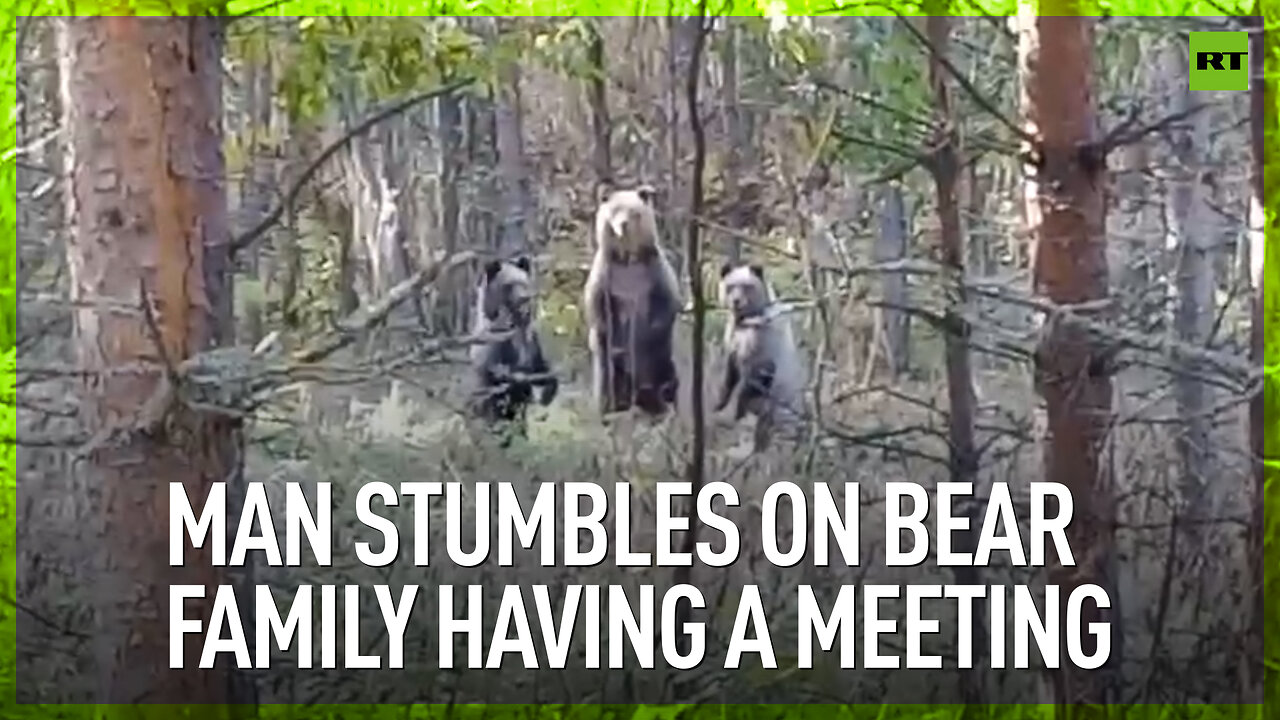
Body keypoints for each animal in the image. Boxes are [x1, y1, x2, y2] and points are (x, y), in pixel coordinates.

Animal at [465, 254, 555, 440]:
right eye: (508, 285)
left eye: (524, 283)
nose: (524, 304)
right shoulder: (495, 348)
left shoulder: (531, 344)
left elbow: (541, 370)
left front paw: (548, 390)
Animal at [586, 184, 686, 417]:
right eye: (615, 211)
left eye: (633, 212)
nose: (622, 225)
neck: (628, 258)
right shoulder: (607, 276)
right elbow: (596, 309)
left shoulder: (653, 273)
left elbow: (666, 306)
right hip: (610, 370)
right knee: (607, 381)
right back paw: (612, 408)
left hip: (662, 362)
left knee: (665, 378)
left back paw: (660, 404)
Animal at [716, 260, 803, 450]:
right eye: (731, 286)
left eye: (747, 287)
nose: (736, 301)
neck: (746, 320)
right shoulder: (733, 338)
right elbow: (730, 373)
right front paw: (720, 403)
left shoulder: (762, 340)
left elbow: (752, 376)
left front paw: (734, 413)